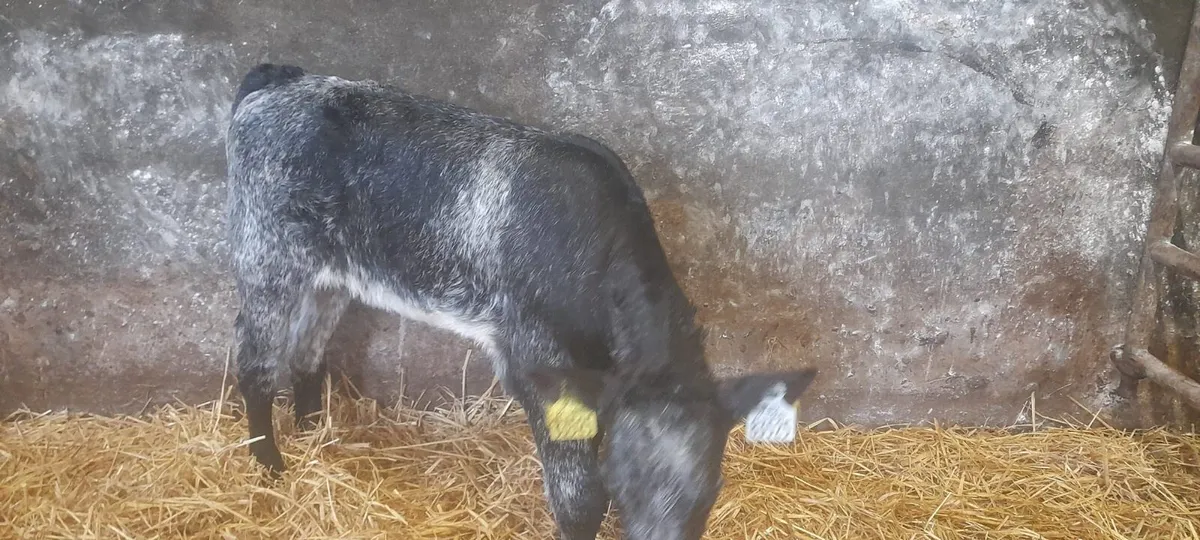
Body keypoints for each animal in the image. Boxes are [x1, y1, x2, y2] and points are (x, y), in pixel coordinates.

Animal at [225, 63, 818, 540]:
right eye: (624, 484)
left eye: (712, 490)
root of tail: (280, 79)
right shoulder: (538, 357)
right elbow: (579, 499)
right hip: (267, 253)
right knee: (255, 362)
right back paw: (271, 465)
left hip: (331, 275)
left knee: (306, 353)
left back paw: (313, 438)